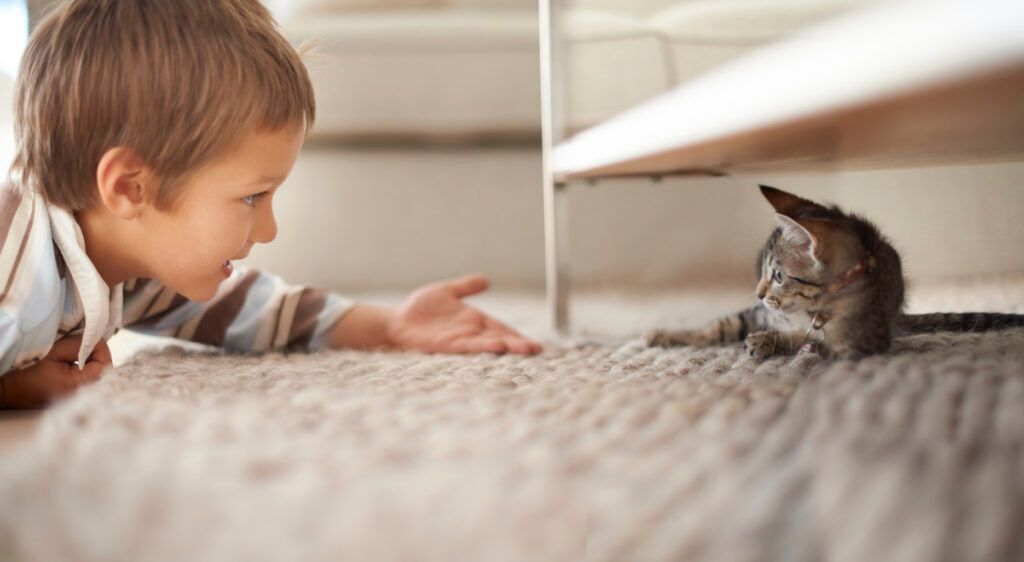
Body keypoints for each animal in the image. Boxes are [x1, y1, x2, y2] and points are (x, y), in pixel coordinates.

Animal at [647, 185, 1024, 360]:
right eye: (761, 271)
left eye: (779, 276)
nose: (757, 292)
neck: (810, 310)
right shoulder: (759, 312)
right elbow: (719, 325)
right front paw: (667, 334)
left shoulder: (857, 343)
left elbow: (809, 340)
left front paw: (767, 341)